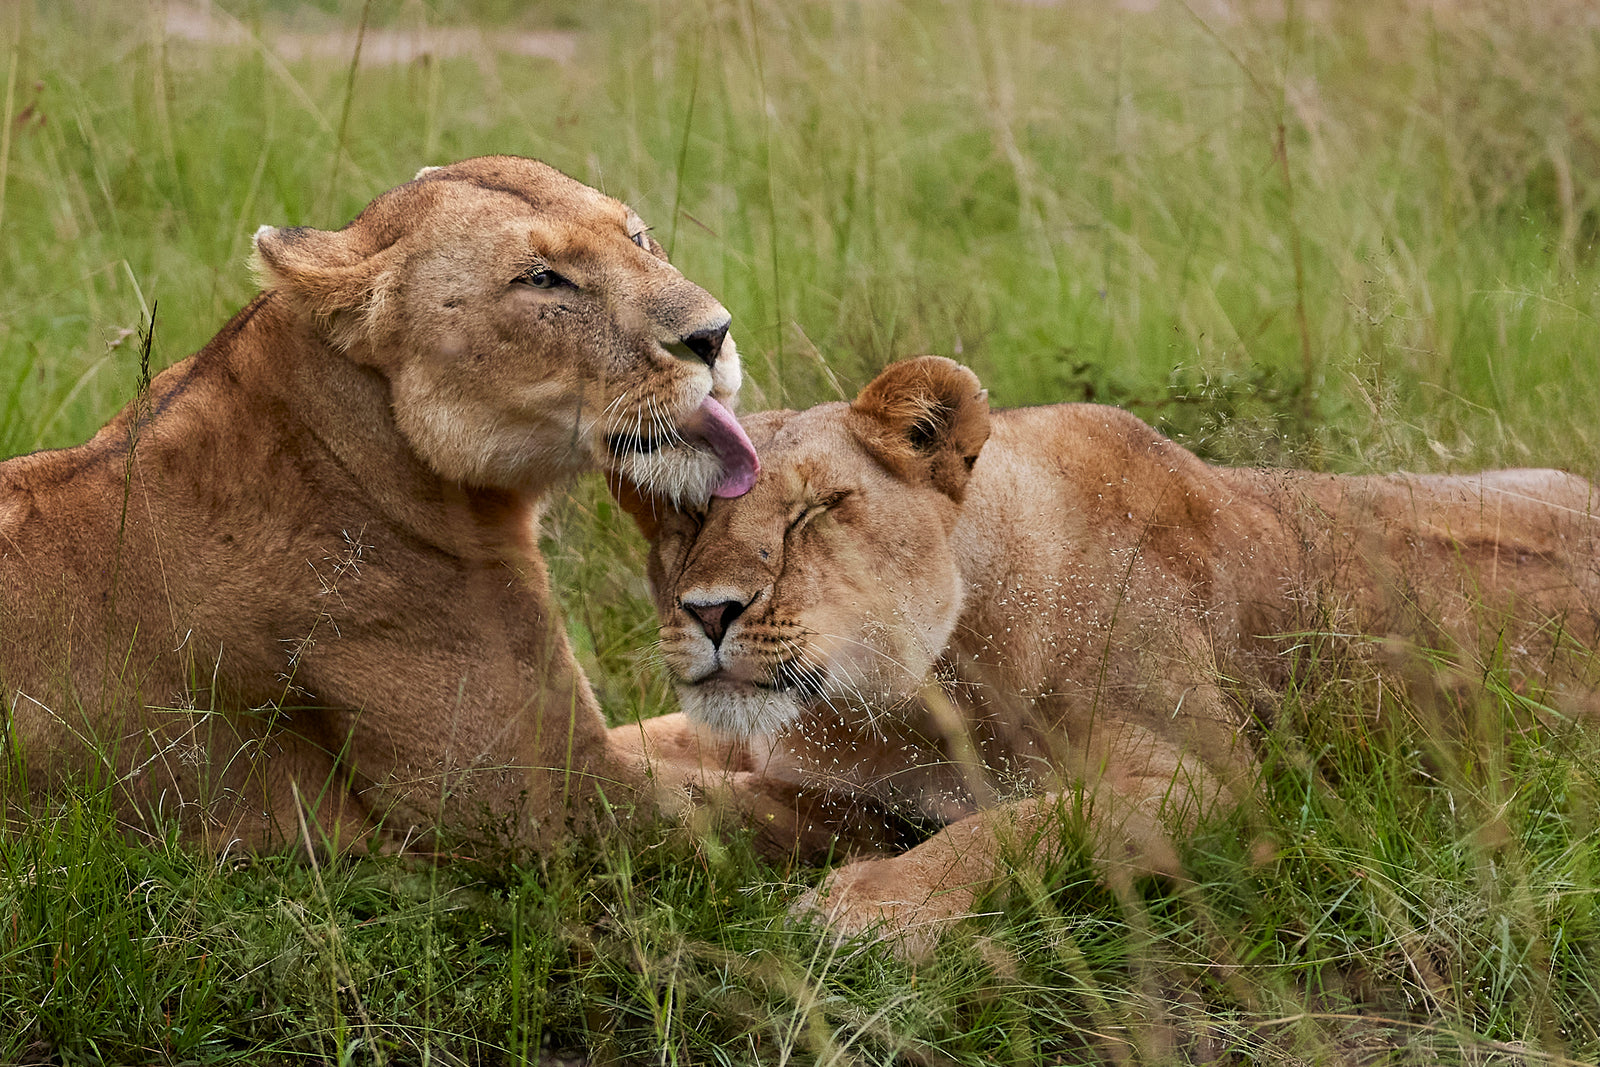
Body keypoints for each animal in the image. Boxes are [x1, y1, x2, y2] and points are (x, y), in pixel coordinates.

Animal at [616, 355, 1600, 954]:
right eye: (683, 512)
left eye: (816, 510)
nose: (710, 611)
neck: (911, 702)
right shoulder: (795, 756)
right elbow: (652, 749)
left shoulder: (1215, 786)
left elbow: (1022, 822)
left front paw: (872, 907)